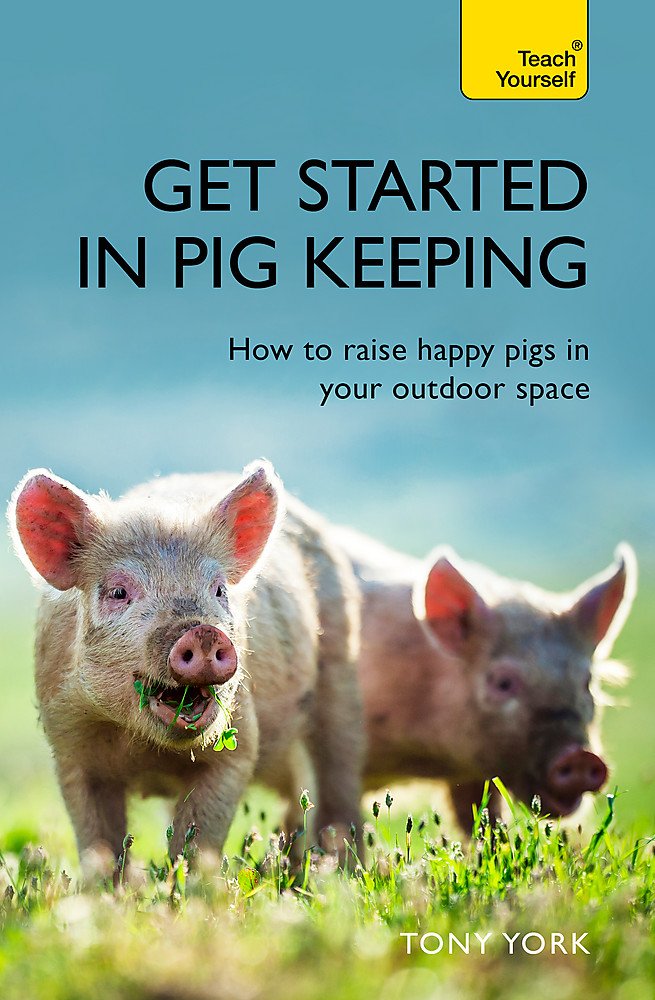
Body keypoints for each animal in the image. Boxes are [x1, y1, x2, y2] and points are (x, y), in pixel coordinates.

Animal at [8, 463, 363, 867]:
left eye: (219, 590)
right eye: (118, 592)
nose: (203, 632)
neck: (147, 751)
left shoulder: (237, 745)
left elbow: (196, 842)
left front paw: (189, 881)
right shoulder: (70, 747)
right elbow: (100, 845)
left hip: (340, 672)